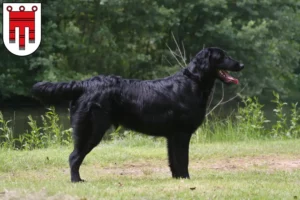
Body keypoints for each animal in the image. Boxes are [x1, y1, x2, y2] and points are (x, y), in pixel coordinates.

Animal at [32, 47, 244, 182]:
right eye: (222, 56)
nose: (241, 64)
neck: (193, 82)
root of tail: (84, 84)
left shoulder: (172, 136)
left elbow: (174, 161)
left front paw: (178, 179)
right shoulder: (182, 134)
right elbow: (183, 160)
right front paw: (186, 179)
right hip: (91, 130)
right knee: (74, 157)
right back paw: (77, 180)